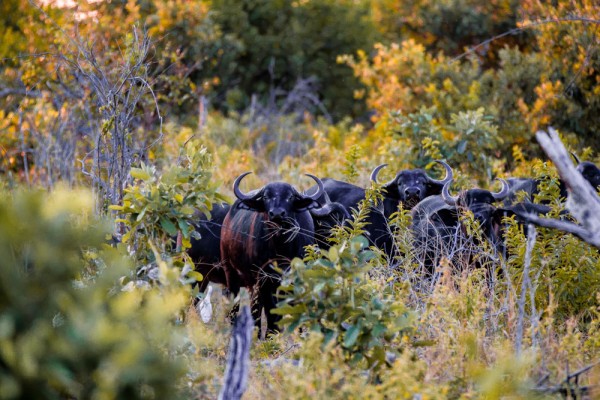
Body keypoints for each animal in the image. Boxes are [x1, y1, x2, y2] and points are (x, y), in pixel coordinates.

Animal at [221, 172, 330, 332]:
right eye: (266, 197)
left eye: (290, 197)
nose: (277, 214)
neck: (281, 247)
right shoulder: (264, 279)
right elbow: (271, 311)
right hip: (231, 273)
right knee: (237, 306)